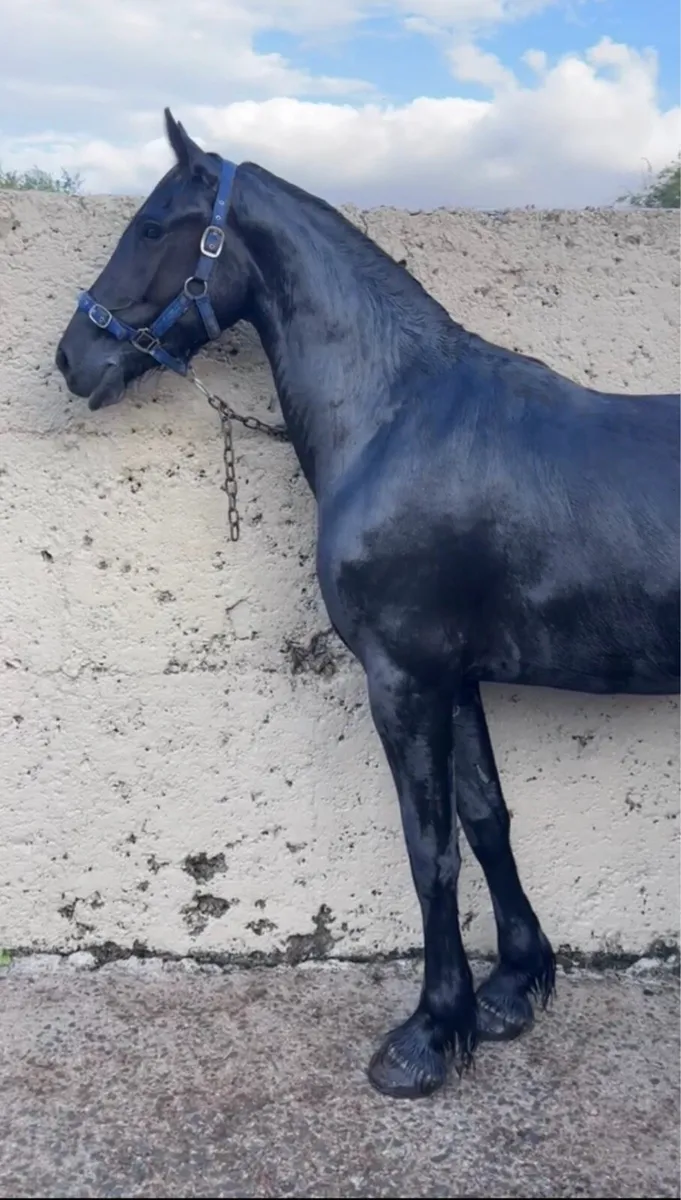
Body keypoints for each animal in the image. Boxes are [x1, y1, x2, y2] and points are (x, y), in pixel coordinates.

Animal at [55, 108, 680, 1100]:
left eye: (151, 228)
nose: (73, 358)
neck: (397, 416)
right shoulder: (451, 676)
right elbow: (484, 820)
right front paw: (509, 990)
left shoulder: (401, 677)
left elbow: (430, 852)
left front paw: (428, 1035)